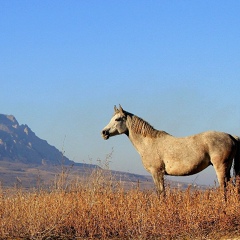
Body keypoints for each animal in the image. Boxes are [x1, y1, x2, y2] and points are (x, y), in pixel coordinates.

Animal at [101, 104, 240, 196]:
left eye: (117, 119)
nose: (103, 133)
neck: (149, 143)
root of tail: (231, 136)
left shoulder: (157, 172)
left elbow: (161, 193)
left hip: (220, 167)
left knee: (224, 188)